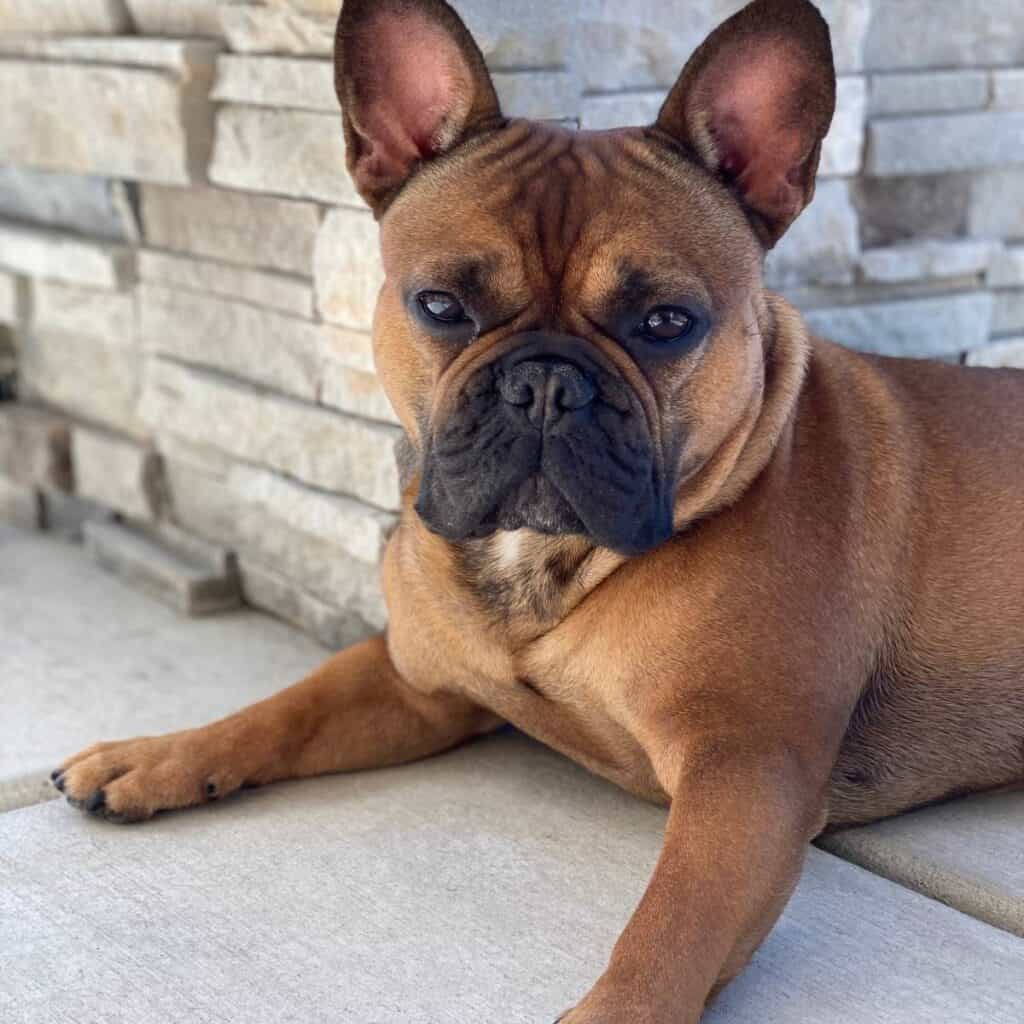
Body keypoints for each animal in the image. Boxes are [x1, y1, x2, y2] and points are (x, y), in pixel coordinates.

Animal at [51, 0, 1024, 1019]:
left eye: (666, 323)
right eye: (441, 305)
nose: (546, 385)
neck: (544, 561)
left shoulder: (747, 774)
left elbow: (671, 924)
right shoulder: (415, 682)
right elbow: (282, 708)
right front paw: (155, 755)